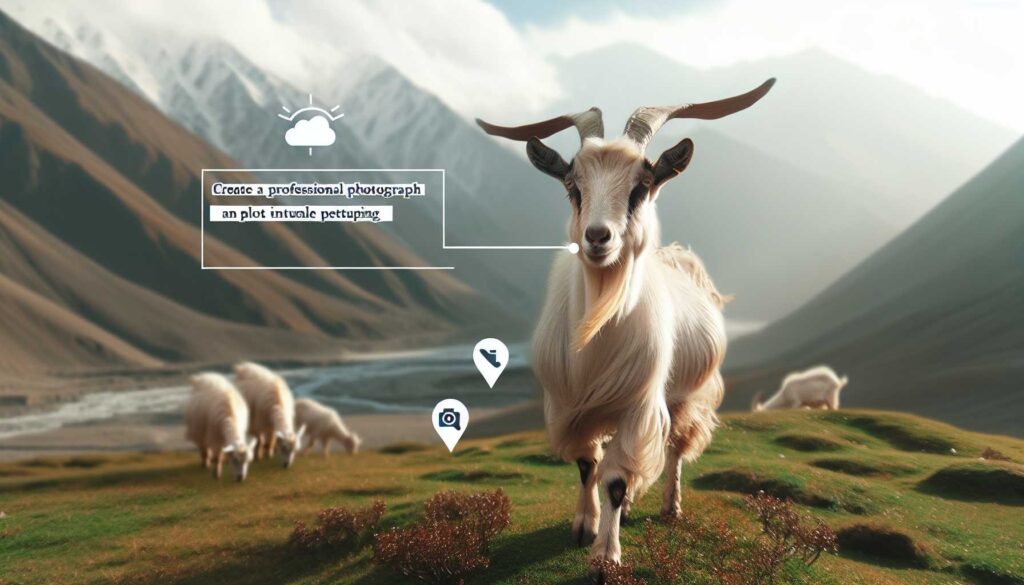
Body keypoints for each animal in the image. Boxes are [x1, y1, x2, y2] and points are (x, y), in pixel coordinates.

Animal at [477, 79, 775, 571]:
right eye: (573, 186)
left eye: (643, 185)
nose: (598, 237)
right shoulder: (571, 405)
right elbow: (588, 464)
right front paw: (585, 526)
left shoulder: (639, 404)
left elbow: (616, 477)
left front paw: (606, 555)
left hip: (686, 395)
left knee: (675, 447)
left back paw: (671, 506)